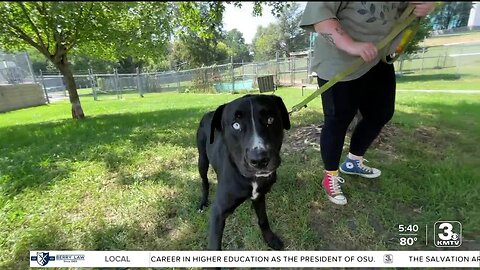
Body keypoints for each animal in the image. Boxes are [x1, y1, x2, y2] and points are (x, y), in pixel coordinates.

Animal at [194, 94, 288, 250]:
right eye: (236, 125)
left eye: (270, 120)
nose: (259, 160)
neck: (250, 179)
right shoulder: (218, 213)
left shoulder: (259, 196)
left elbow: (263, 219)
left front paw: (270, 239)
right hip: (202, 159)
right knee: (204, 181)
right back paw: (202, 203)